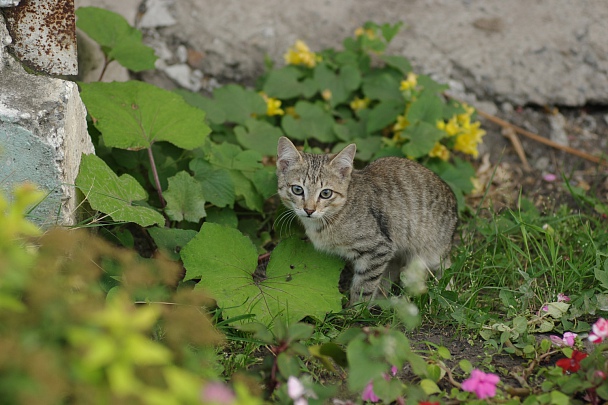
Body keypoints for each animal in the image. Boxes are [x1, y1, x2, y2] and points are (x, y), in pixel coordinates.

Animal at [276, 137, 456, 304]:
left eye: (326, 193)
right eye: (297, 189)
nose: (309, 210)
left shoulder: (379, 249)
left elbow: (364, 286)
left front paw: (355, 310)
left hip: (429, 251)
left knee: (445, 266)